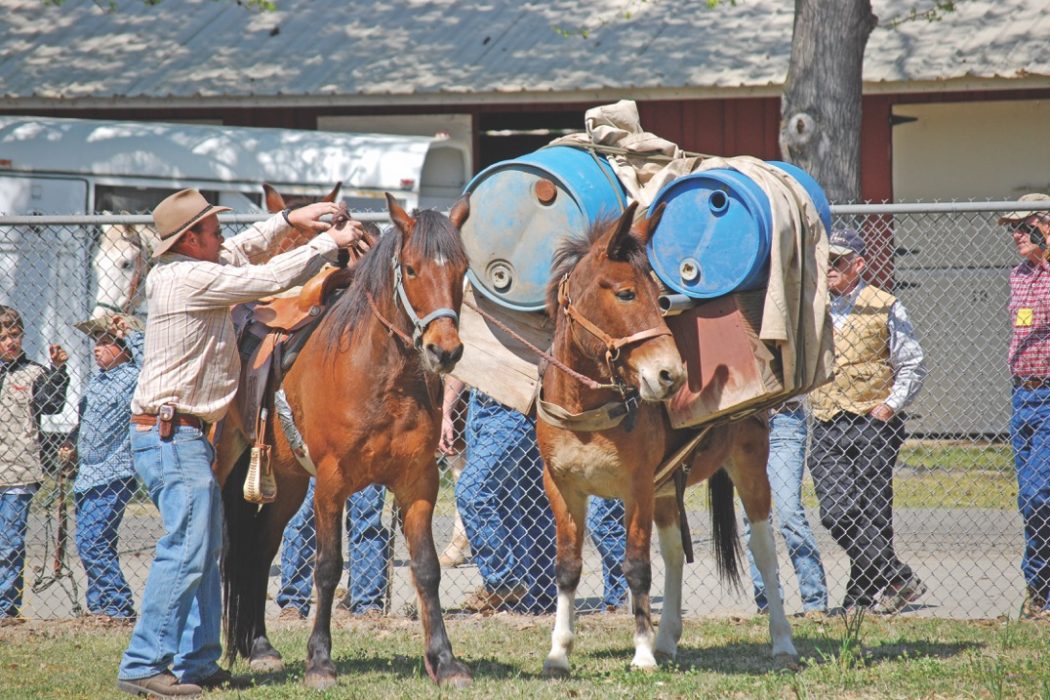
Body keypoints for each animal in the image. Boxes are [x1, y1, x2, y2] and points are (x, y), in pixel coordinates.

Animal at [218, 193, 473, 689]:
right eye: (411, 268)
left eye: (462, 268)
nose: (445, 350)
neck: (382, 377)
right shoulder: (332, 484)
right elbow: (328, 567)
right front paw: (320, 661)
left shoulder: (418, 483)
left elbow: (426, 569)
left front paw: (446, 661)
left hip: (288, 483)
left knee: (259, 548)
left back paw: (260, 647)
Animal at [534, 202, 798, 676]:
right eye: (625, 294)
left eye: (660, 296)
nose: (670, 374)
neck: (586, 408)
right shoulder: (562, 488)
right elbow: (567, 567)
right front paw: (559, 653)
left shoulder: (637, 485)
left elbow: (638, 566)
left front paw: (640, 653)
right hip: (664, 491)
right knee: (675, 552)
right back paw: (667, 638)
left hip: (749, 465)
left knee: (764, 548)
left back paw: (782, 642)